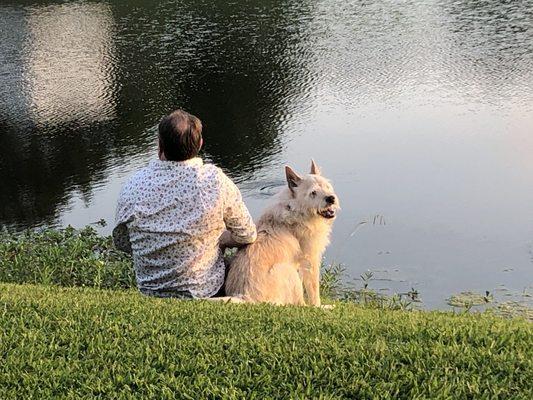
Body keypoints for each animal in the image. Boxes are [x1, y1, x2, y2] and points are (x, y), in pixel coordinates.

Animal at [227, 161, 338, 304]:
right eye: (313, 193)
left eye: (327, 186)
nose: (331, 198)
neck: (298, 209)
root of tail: (245, 297)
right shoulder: (310, 261)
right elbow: (314, 292)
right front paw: (318, 306)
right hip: (288, 271)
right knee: (300, 304)